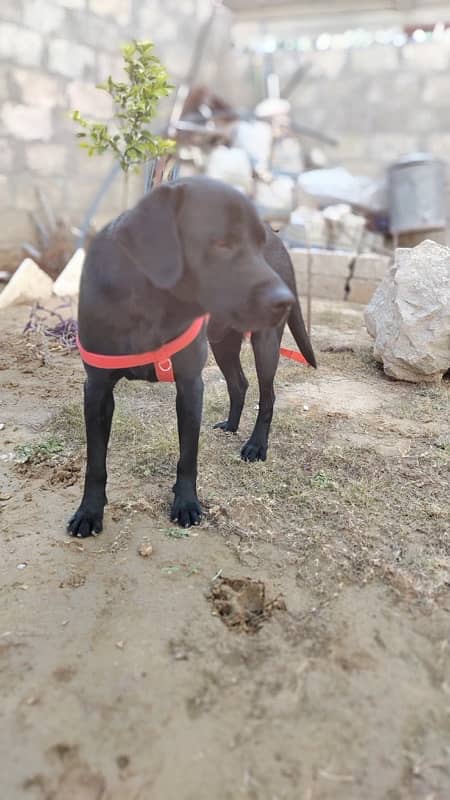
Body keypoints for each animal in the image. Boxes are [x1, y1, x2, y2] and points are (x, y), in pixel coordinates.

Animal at [70, 176, 316, 536]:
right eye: (222, 243)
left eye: (257, 245)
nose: (284, 300)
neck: (150, 301)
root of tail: (282, 241)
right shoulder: (97, 389)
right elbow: (95, 461)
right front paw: (89, 511)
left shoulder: (189, 385)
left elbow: (188, 456)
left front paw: (186, 503)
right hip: (222, 341)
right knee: (239, 384)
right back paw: (231, 425)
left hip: (265, 344)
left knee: (267, 395)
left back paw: (256, 445)